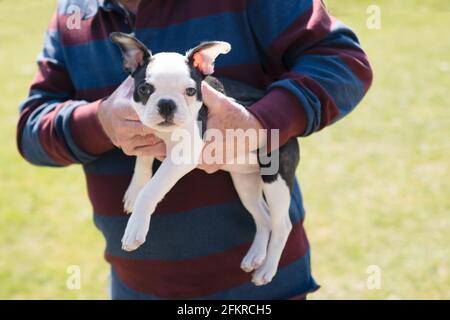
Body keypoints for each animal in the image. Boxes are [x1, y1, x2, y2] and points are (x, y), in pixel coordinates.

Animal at [110, 31, 298, 284]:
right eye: (144, 89)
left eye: (190, 91)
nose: (166, 104)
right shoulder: (146, 131)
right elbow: (143, 159)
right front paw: (134, 189)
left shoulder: (184, 154)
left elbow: (153, 188)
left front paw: (135, 226)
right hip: (245, 182)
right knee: (264, 218)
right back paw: (256, 255)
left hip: (275, 178)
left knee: (282, 226)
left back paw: (267, 269)